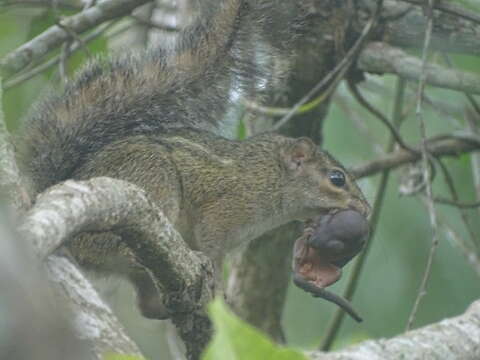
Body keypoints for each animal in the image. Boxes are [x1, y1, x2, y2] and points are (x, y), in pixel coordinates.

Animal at [16, 0, 370, 320]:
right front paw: (217, 284)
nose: (365, 210)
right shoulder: (224, 209)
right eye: (337, 178)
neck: (270, 176)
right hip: (153, 179)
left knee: (145, 304)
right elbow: (212, 246)